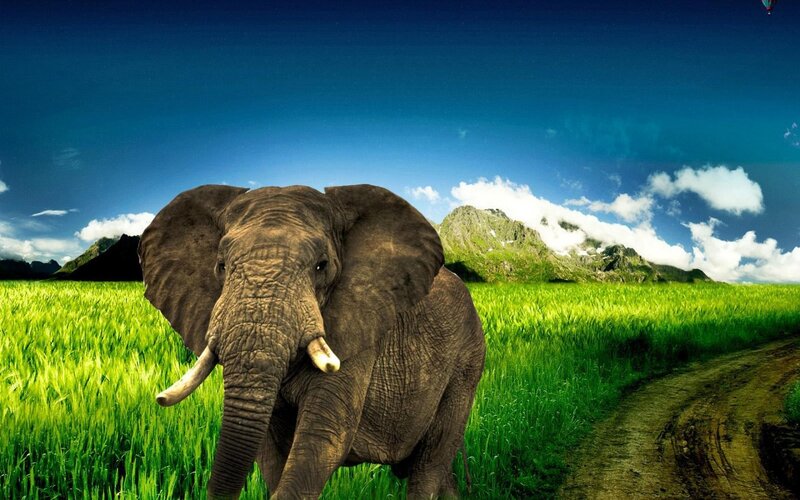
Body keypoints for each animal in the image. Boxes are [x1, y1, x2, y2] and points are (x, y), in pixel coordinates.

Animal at [138, 183, 486, 499]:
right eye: (221, 266)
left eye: (322, 266)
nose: (157, 399)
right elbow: (270, 450)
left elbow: (323, 437)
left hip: (466, 364)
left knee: (428, 466)